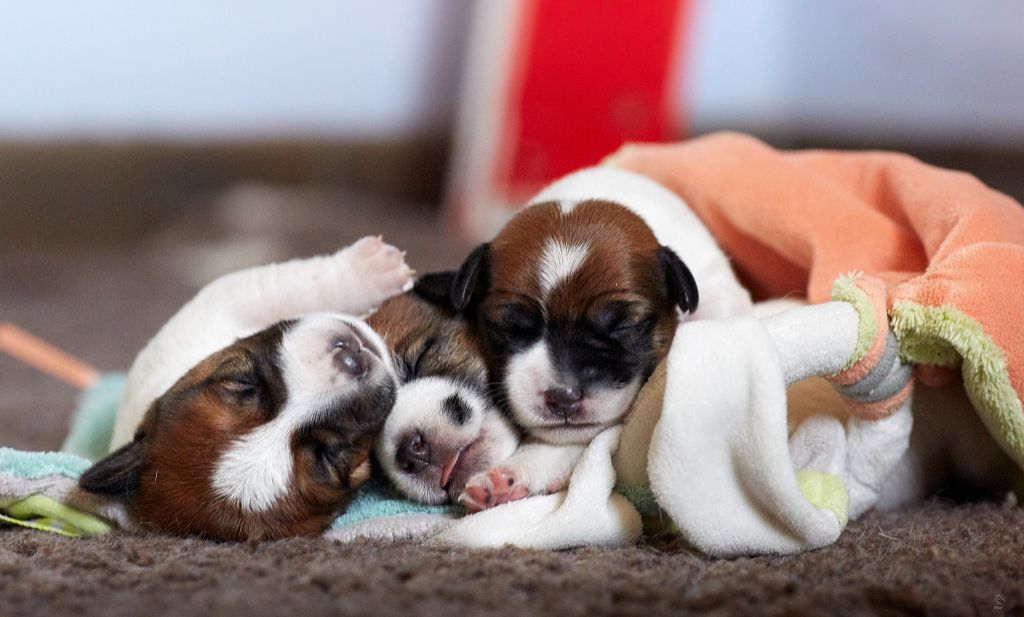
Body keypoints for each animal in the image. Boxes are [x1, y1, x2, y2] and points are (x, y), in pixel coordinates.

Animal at [78, 236, 411, 540]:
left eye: (244, 383)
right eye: (328, 454)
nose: (351, 359)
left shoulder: (212, 306)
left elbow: (284, 287)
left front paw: (372, 270)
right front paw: (372, 268)